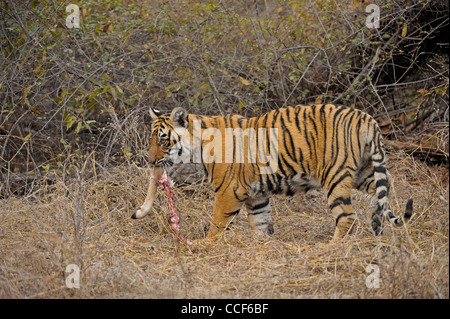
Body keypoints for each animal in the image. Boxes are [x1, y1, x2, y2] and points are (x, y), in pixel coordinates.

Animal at [132, 104, 414, 241]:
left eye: (163, 140)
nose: (150, 160)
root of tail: (367, 119)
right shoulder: (256, 196)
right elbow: (261, 225)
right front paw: (263, 249)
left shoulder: (228, 193)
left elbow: (216, 225)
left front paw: (205, 247)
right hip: (363, 172)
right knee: (386, 187)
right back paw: (381, 222)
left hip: (335, 176)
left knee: (347, 216)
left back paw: (332, 247)